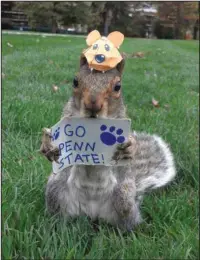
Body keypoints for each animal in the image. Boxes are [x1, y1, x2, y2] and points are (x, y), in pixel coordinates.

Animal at [39, 53, 176, 232]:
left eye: (118, 86)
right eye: (75, 81)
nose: (93, 104)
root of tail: (92, 212)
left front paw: (129, 147)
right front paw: (48, 145)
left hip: (123, 199)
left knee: (127, 222)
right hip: (55, 191)